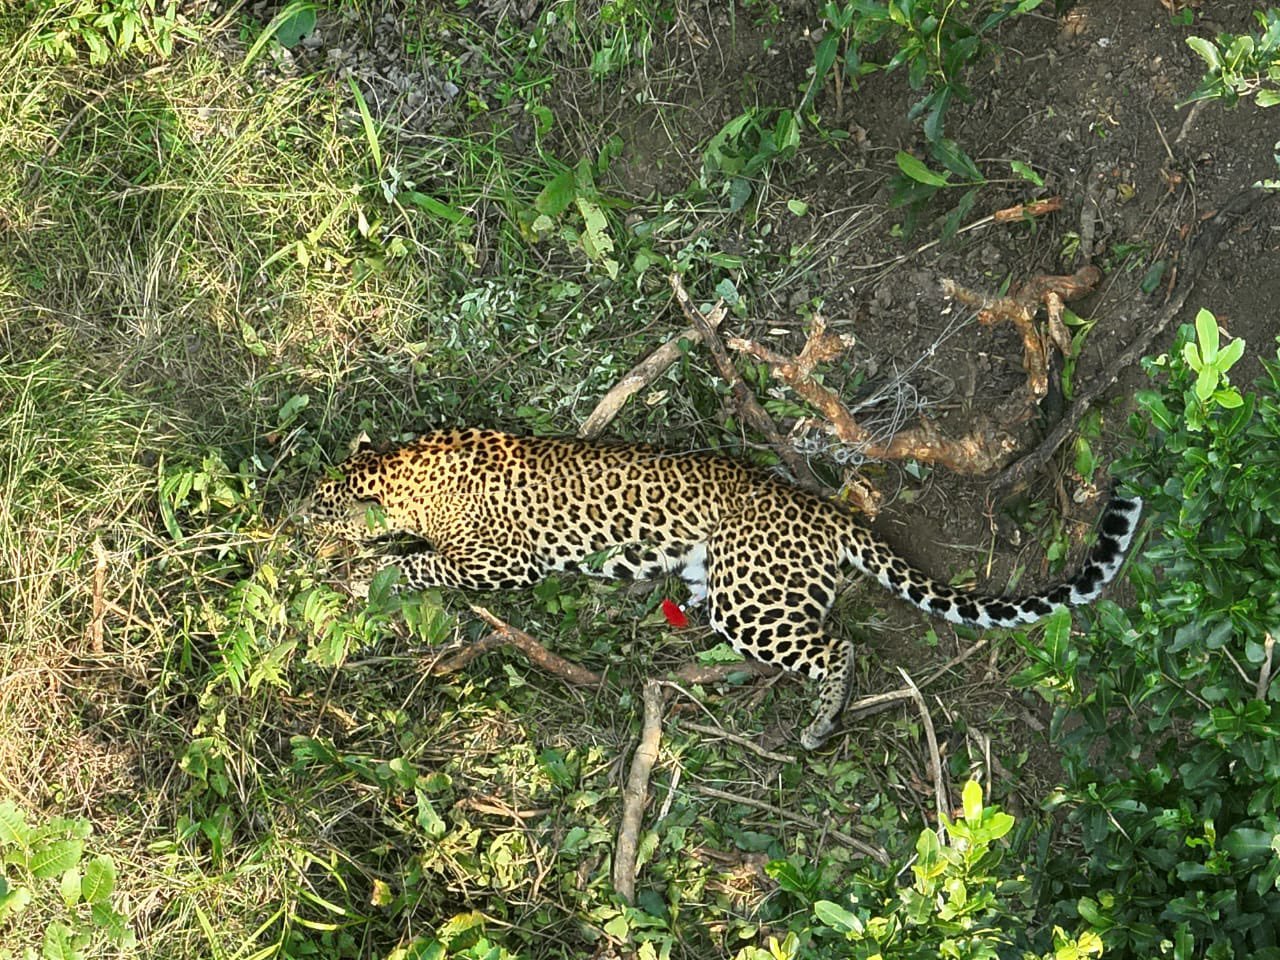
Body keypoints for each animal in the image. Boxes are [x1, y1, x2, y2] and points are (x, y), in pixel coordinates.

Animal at [303, 427, 1142, 750]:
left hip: (756, 597)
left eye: (320, 504)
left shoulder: (498, 561)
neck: (412, 469)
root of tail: (824, 507)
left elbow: (421, 566)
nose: (295, 520)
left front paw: (359, 574)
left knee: (835, 645)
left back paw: (819, 722)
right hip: (725, 582)